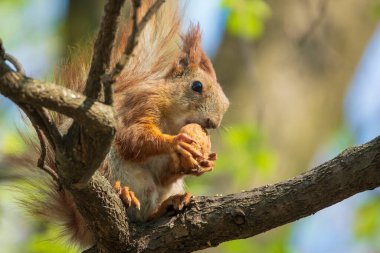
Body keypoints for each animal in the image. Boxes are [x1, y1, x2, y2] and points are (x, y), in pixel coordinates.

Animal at [20, 0, 229, 249]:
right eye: (197, 86)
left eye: (226, 104)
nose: (213, 123)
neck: (173, 120)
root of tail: (80, 228)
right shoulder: (141, 105)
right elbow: (133, 137)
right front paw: (176, 143)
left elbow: (164, 172)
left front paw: (204, 162)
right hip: (104, 165)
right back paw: (122, 193)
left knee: (147, 214)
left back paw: (168, 205)